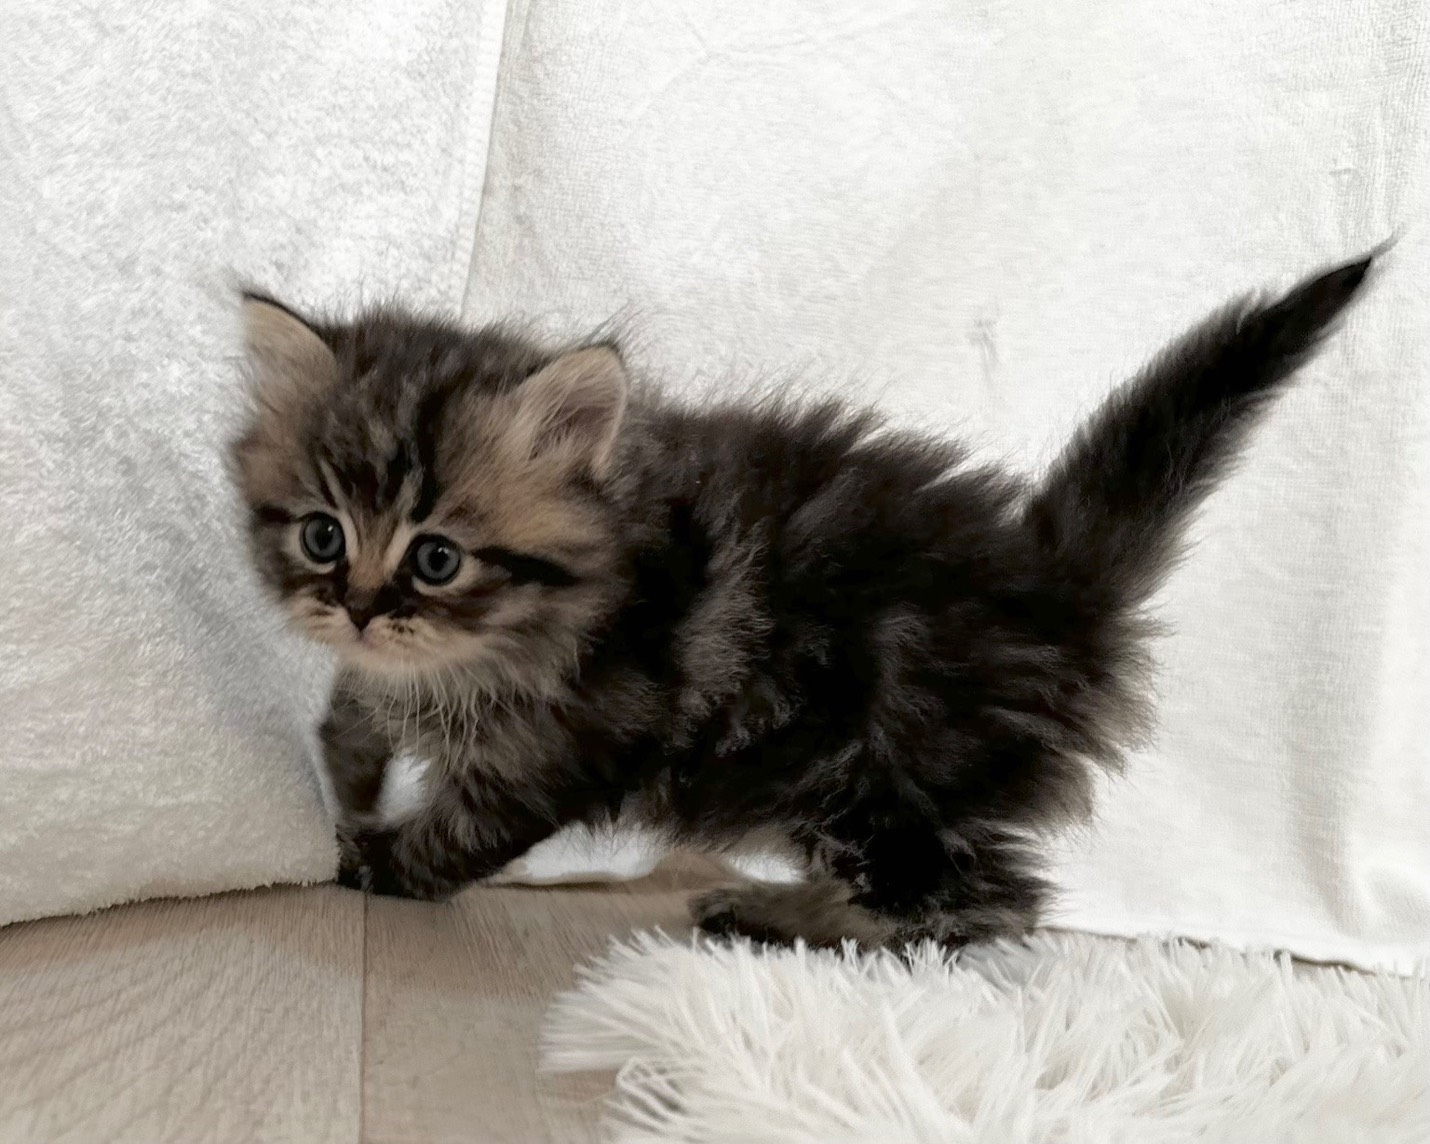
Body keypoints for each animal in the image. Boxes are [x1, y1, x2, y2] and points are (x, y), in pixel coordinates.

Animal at [231, 254, 1372, 948]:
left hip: (872, 772)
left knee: (989, 903)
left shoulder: (570, 742)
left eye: (436, 559)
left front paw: (370, 859)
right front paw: (349, 777)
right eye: (323, 535)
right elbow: (351, 719)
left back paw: (807, 925)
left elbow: (457, 833)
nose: (359, 608)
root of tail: (1054, 578)